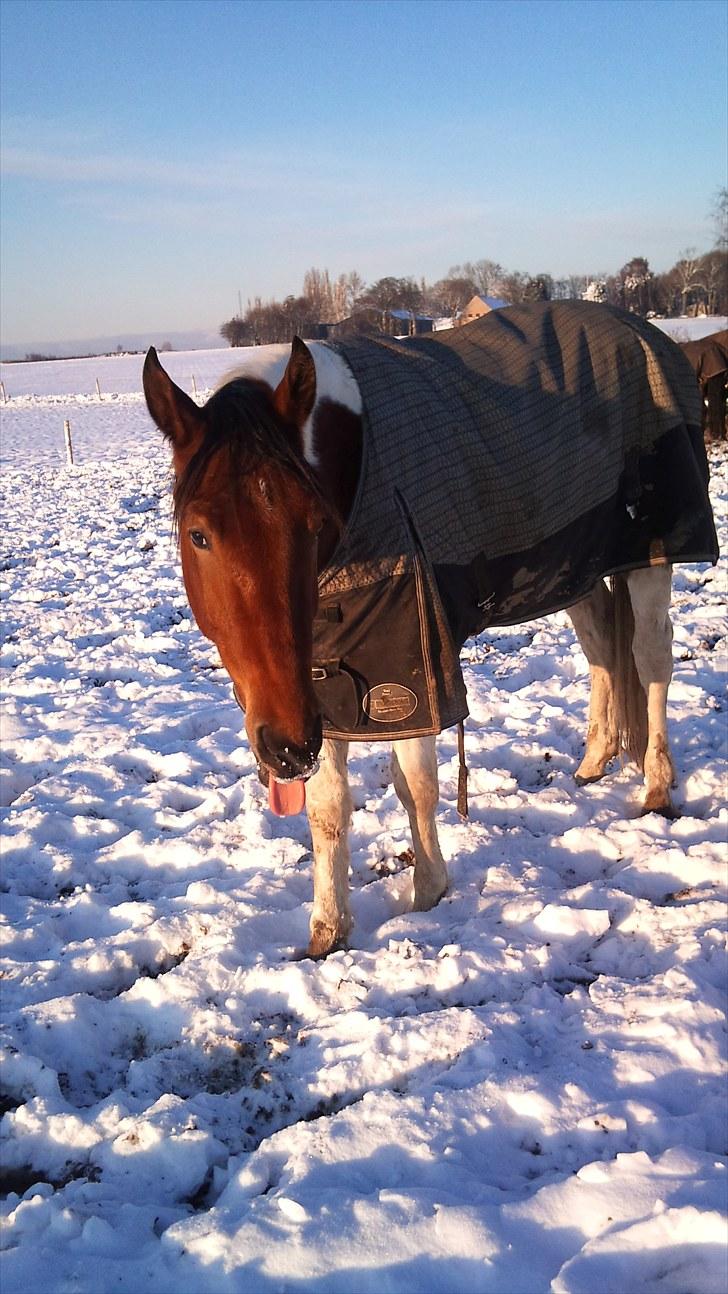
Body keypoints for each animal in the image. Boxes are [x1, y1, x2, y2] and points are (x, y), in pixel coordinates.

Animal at [142, 302, 718, 962]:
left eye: (311, 523)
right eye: (199, 534)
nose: (284, 748)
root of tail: (646, 332)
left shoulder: (409, 659)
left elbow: (415, 784)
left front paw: (427, 896)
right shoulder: (317, 680)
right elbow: (328, 808)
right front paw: (327, 930)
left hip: (651, 555)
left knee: (650, 659)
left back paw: (656, 785)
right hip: (576, 565)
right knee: (601, 645)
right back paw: (596, 758)